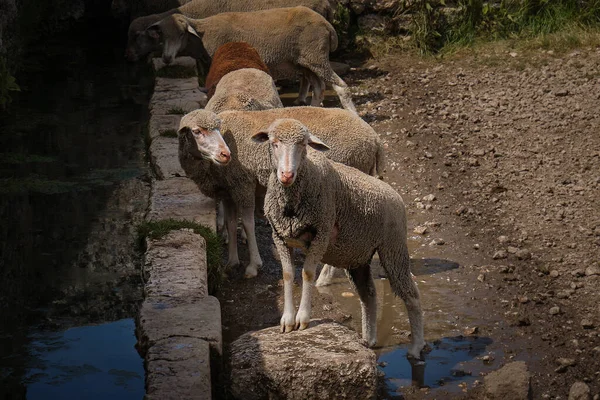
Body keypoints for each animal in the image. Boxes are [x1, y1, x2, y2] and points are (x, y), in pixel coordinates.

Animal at [148, 7, 358, 111]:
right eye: (163, 35)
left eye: (181, 34)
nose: (166, 58)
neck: (201, 35)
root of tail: (328, 26)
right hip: (306, 61)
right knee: (319, 88)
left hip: (316, 57)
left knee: (341, 87)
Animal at [178, 108, 384, 280]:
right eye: (197, 131)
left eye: (218, 129)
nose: (225, 154)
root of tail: (374, 138)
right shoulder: (229, 190)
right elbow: (230, 224)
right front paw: (232, 262)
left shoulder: (243, 184)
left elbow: (248, 224)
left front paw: (253, 265)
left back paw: (325, 277)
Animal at [252, 119, 426, 360]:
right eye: (273, 142)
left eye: (304, 144)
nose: (286, 175)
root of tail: (395, 193)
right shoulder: (279, 237)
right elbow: (287, 275)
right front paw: (287, 321)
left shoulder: (321, 233)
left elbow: (307, 273)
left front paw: (302, 319)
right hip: (357, 256)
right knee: (369, 295)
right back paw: (368, 340)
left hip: (393, 247)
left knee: (412, 295)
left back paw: (416, 346)